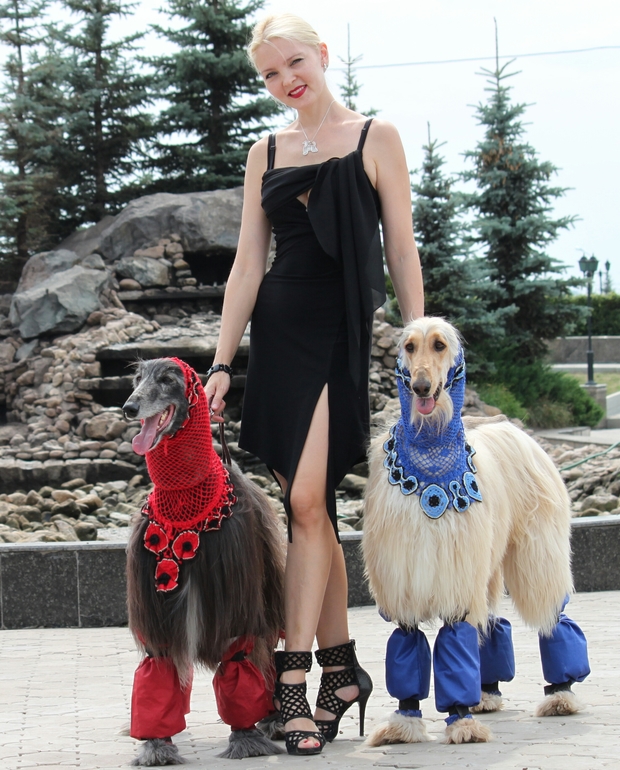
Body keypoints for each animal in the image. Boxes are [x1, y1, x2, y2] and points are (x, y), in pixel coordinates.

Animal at [123, 357, 286, 764]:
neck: (187, 504)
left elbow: (240, 662)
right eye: (137, 379)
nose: (130, 408)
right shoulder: (157, 607)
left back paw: (275, 718)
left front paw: (246, 738)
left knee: (265, 656)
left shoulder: (236, 600)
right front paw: (155, 744)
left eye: (167, 379)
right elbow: (157, 670)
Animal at [362, 317, 590, 746]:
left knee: (553, 612)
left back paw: (561, 694)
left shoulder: (456, 574)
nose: (421, 387)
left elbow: (456, 643)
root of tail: (514, 429)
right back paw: (488, 693)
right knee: (493, 620)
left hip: (537, 549)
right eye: (409, 346)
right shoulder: (403, 577)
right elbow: (407, 646)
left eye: (439, 345)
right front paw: (405, 723)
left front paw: (461, 721)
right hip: (488, 559)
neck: (430, 456)